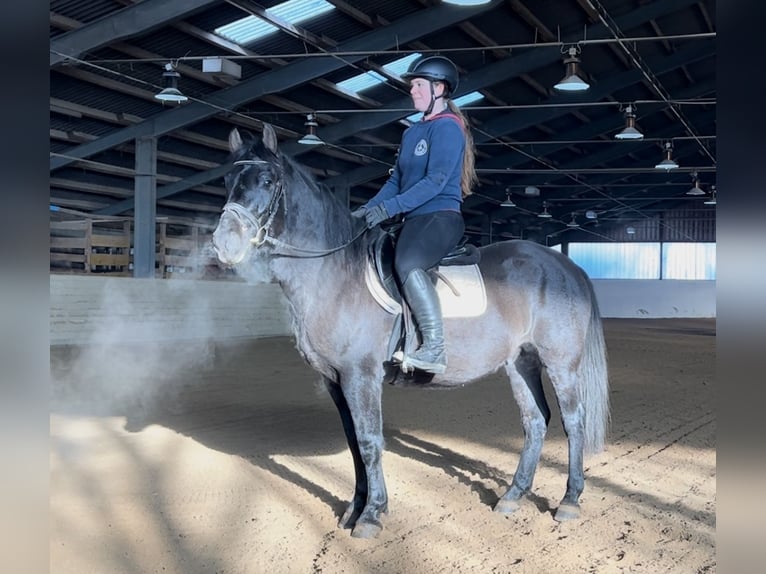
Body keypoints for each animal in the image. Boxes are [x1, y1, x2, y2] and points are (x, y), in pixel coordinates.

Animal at [210, 125, 612, 540]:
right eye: (226, 180)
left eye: (267, 180)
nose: (223, 244)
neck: (336, 272)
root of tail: (565, 264)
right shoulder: (334, 380)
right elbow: (353, 443)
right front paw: (354, 509)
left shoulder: (361, 375)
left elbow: (369, 441)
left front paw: (371, 515)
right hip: (520, 363)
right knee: (534, 421)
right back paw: (512, 497)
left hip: (561, 364)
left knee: (573, 421)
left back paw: (569, 500)